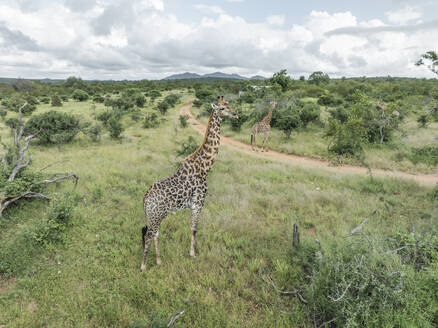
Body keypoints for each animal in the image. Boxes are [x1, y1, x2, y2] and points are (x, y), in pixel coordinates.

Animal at [139, 96, 236, 270]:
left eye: (229, 105)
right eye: (222, 108)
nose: (235, 114)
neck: (205, 167)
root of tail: (145, 199)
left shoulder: (193, 205)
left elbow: (191, 227)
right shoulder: (198, 203)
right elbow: (194, 228)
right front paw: (193, 254)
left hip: (155, 215)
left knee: (154, 233)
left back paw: (159, 261)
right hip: (157, 215)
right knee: (149, 235)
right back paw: (143, 266)